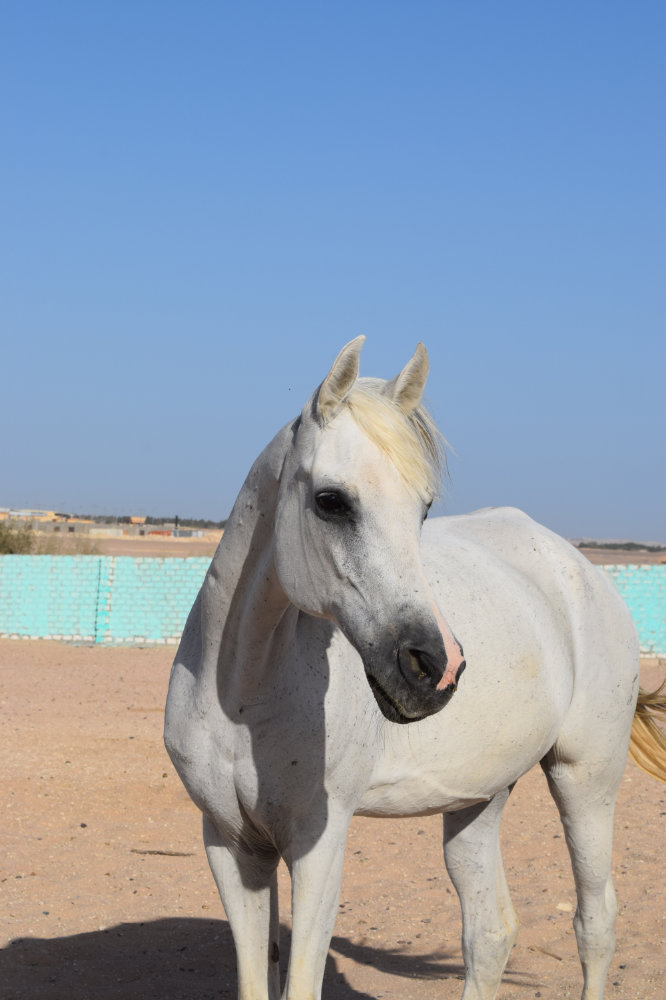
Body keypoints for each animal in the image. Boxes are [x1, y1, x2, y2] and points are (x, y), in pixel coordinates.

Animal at [164, 337, 666, 1000]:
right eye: (331, 501)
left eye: (423, 509)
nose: (436, 668)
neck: (243, 694)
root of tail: (580, 570)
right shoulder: (232, 845)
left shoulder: (318, 845)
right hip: (481, 799)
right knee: (490, 932)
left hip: (586, 778)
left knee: (596, 922)